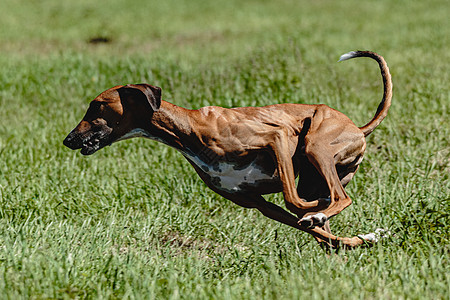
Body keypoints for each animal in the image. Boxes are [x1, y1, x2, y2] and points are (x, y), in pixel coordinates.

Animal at [64, 51, 394, 248]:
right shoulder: (258, 203)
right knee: (326, 204)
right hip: (316, 170)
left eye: (96, 106)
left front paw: (319, 216)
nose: (68, 140)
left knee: (339, 196)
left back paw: (322, 211)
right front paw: (362, 237)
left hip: (315, 146)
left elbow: (294, 201)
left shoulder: (277, 137)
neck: (189, 128)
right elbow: (313, 225)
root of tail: (358, 127)